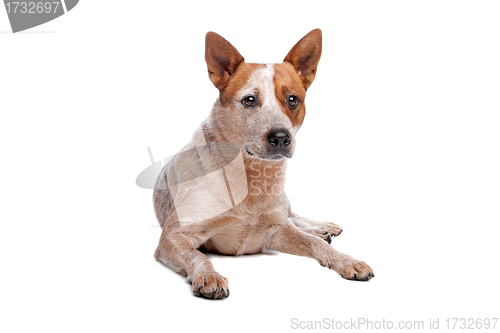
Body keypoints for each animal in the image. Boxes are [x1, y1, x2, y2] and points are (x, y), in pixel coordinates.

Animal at [154, 28, 374, 298]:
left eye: (292, 99)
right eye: (249, 100)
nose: (280, 137)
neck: (252, 177)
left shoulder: (275, 229)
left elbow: (310, 241)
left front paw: (345, 259)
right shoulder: (173, 237)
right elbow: (197, 255)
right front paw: (209, 275)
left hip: (284, 203)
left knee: (294, 216)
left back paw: (322, 228)